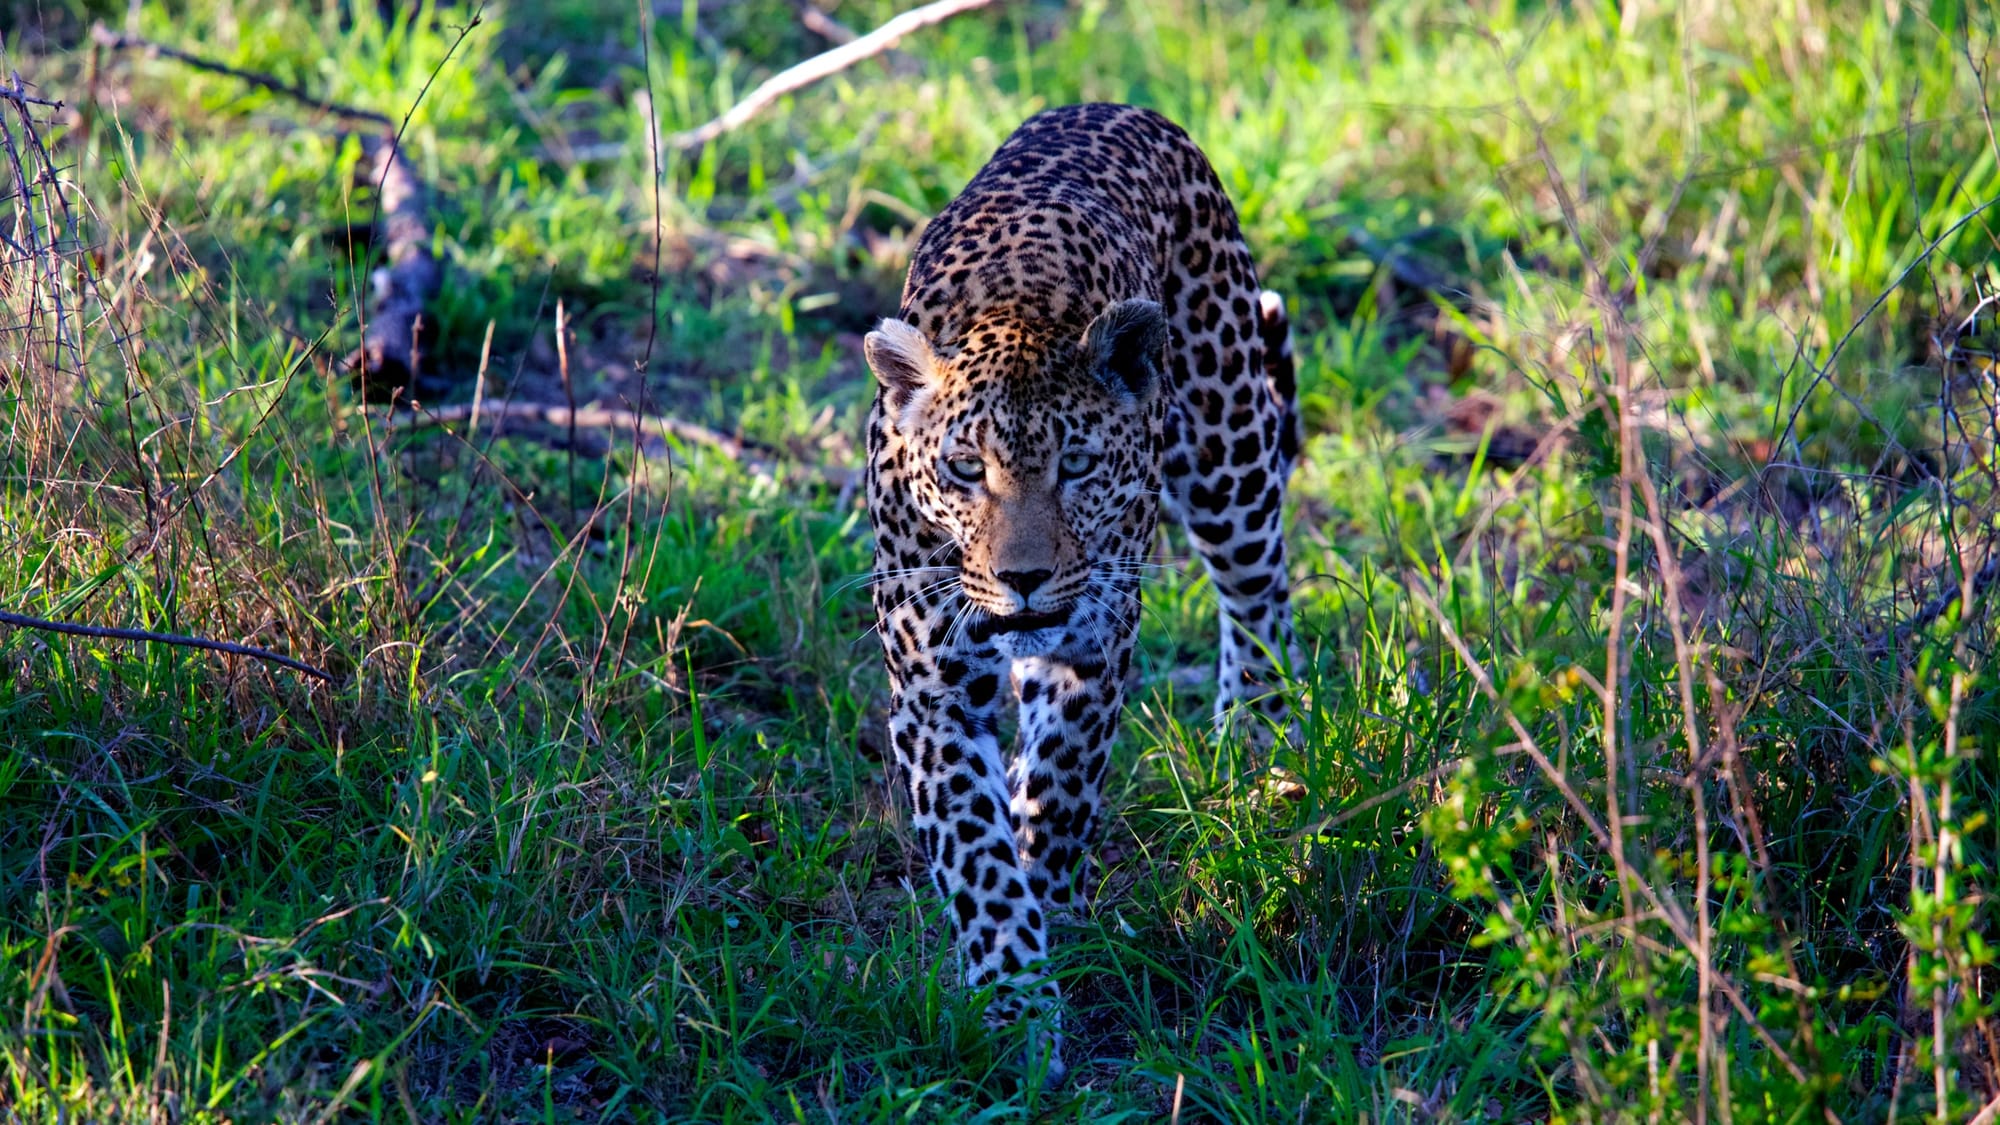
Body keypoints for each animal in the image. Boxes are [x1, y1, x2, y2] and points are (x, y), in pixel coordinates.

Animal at [856, 105, 1296, 1080]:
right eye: (965, 469)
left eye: (1079, 465)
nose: (1022, 579)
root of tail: (1111, 108)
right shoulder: (933, 688)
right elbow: (977, 847)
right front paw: (1016, 1000)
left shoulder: (1094, 643)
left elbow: (1061, 787)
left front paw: (1054, 910)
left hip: (1232, 455)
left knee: (1260, 595)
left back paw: (1260, 747)